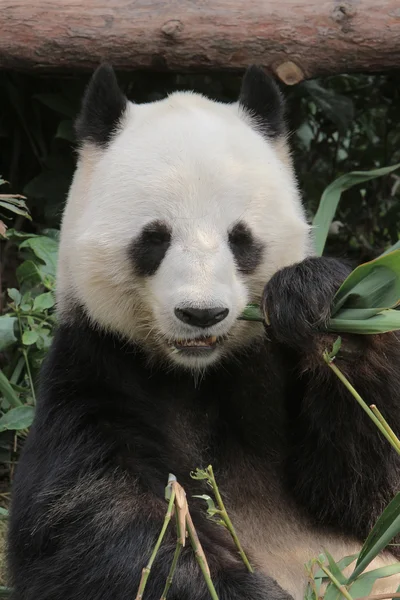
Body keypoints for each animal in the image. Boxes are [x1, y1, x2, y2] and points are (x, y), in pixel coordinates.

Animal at [6, 63, 400, 596]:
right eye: (154, 238)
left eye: (241, 238)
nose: (202, 314)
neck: (196, 375)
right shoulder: (96, 368)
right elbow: (91, 521)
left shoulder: (269, 371)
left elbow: (366, 498)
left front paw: (320, 304)